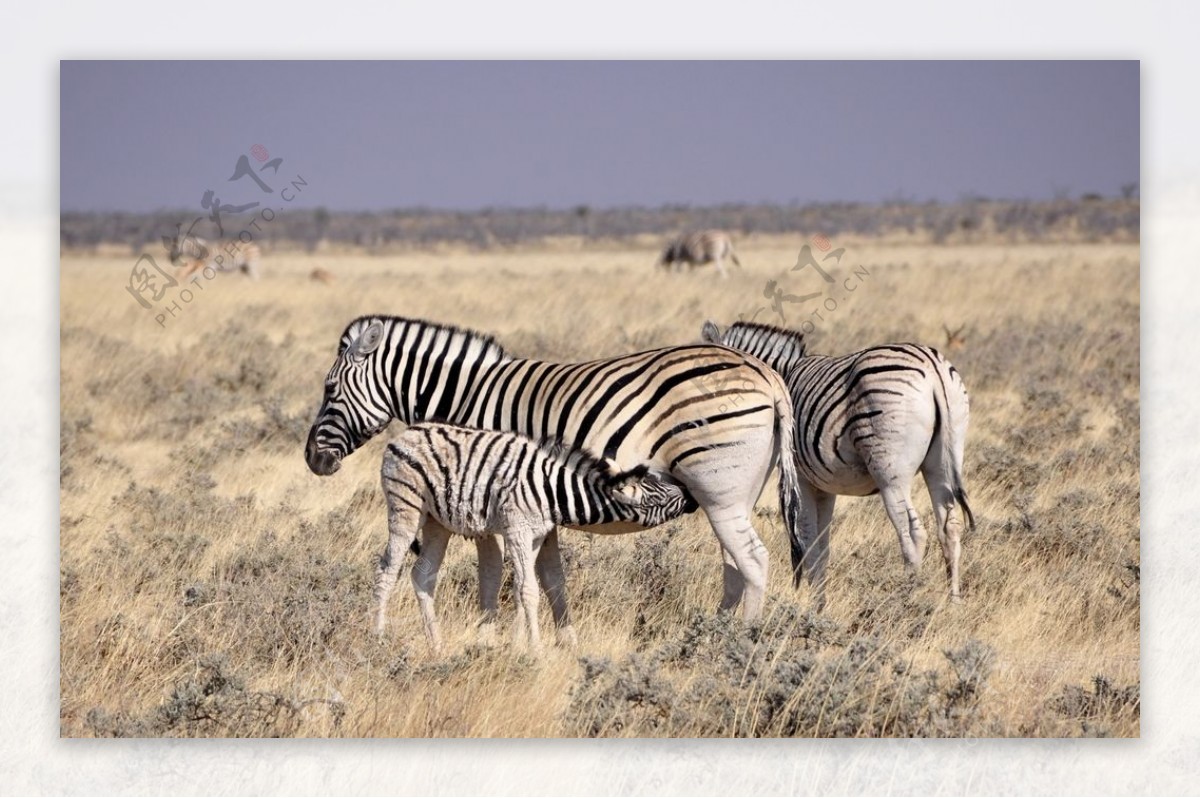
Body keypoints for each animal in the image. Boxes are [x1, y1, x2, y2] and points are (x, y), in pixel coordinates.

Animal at [304, 312, 801, 628]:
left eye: (329, 389)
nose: (313, 459)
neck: (467, 398)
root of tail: (767, 376)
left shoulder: (485, 494)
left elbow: (493, 574)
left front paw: (488, 635)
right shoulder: (535, 500)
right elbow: (551, 579)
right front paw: (563, 639)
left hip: (719, 489)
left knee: (754, 561)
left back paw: (742, 644)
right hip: (735, 496)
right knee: (735, 566)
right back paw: (713, 635)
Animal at [374, 420, 696, 652]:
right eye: (656, 493)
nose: (690, 494)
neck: (550, 488)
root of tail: (403, 435)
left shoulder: (536, 535)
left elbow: (521, 587)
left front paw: (520, 647)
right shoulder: (517, 529)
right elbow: (529, 590)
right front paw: (537, 652)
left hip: (436, 522)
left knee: (423, 575)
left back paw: (437, 645)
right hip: (406, 507)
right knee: (387, 570)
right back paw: (377, 636)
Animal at [700, 316, 974, 604]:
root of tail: (933, 369)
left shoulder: (802, 478)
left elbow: (808, 542)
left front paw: (812, 604)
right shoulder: (825, 486)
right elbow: (822, 547)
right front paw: (819, 603)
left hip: (891, 473)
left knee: (913, 533)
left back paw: (907, 598)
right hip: (942, 461)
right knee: (950, 527)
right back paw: (953, 601)